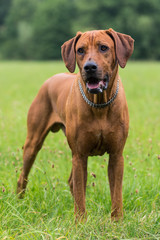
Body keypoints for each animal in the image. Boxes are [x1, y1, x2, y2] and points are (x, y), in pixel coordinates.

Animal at [16, 28, 134, 221]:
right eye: (80, 50)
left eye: (103, 47)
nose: (90, 67)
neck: (100, 105)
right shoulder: (79, 154)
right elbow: (80, 194)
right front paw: (80, 223)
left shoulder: (117, 155)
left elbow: (116, 195)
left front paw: (117, 222)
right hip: (33, 142)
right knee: (23, 175)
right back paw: (20, 203)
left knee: (71, 182)